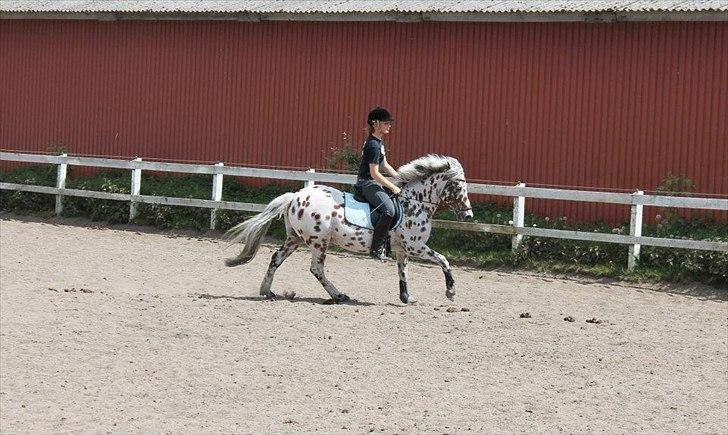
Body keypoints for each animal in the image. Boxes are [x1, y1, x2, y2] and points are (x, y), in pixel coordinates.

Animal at [228, 155, 478, 304]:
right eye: (458, 186)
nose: (468, 215)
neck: (414, 203)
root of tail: (295, 196)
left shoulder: (402, 249)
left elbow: (403, 272)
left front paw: (407, 297)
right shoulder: (415, 246)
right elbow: (444, 260)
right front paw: (450, 292)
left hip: (295, 239)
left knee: (276, 259)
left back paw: (266, 291)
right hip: (319, 242)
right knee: (316, 269)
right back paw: (338, 295)